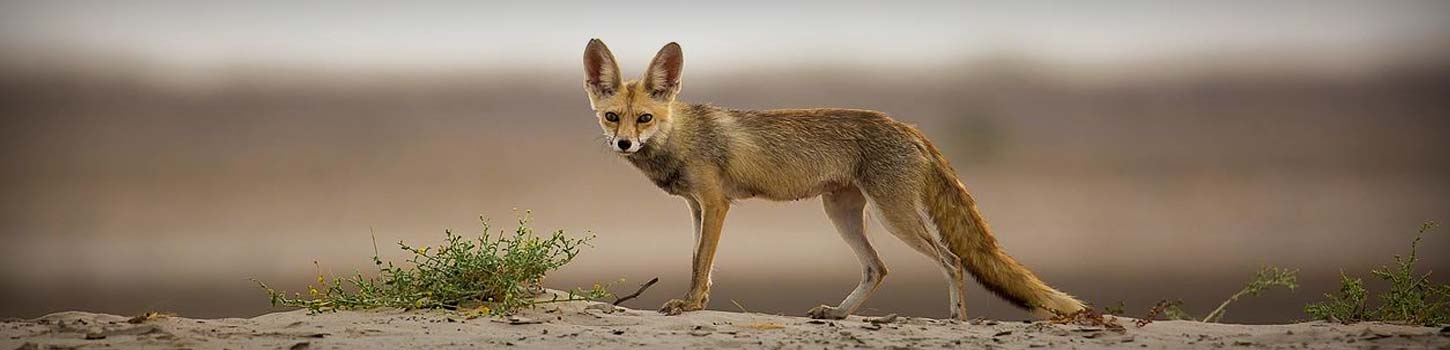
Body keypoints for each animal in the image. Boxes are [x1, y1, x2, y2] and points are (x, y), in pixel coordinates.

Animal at [582, 39, 1084, 319]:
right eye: (612, 117)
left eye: (644, 118)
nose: (623, 144)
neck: (683, 136)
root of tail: (907, 126)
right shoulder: (695, 206)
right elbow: (697, 263)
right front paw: (696, 303)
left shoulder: (717, 203)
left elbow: (701, 264)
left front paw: (689, 306)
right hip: (841, 213)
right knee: (877, 267)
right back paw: (838, 315)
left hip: (893, 216)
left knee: (953, 261)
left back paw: (954, 323)